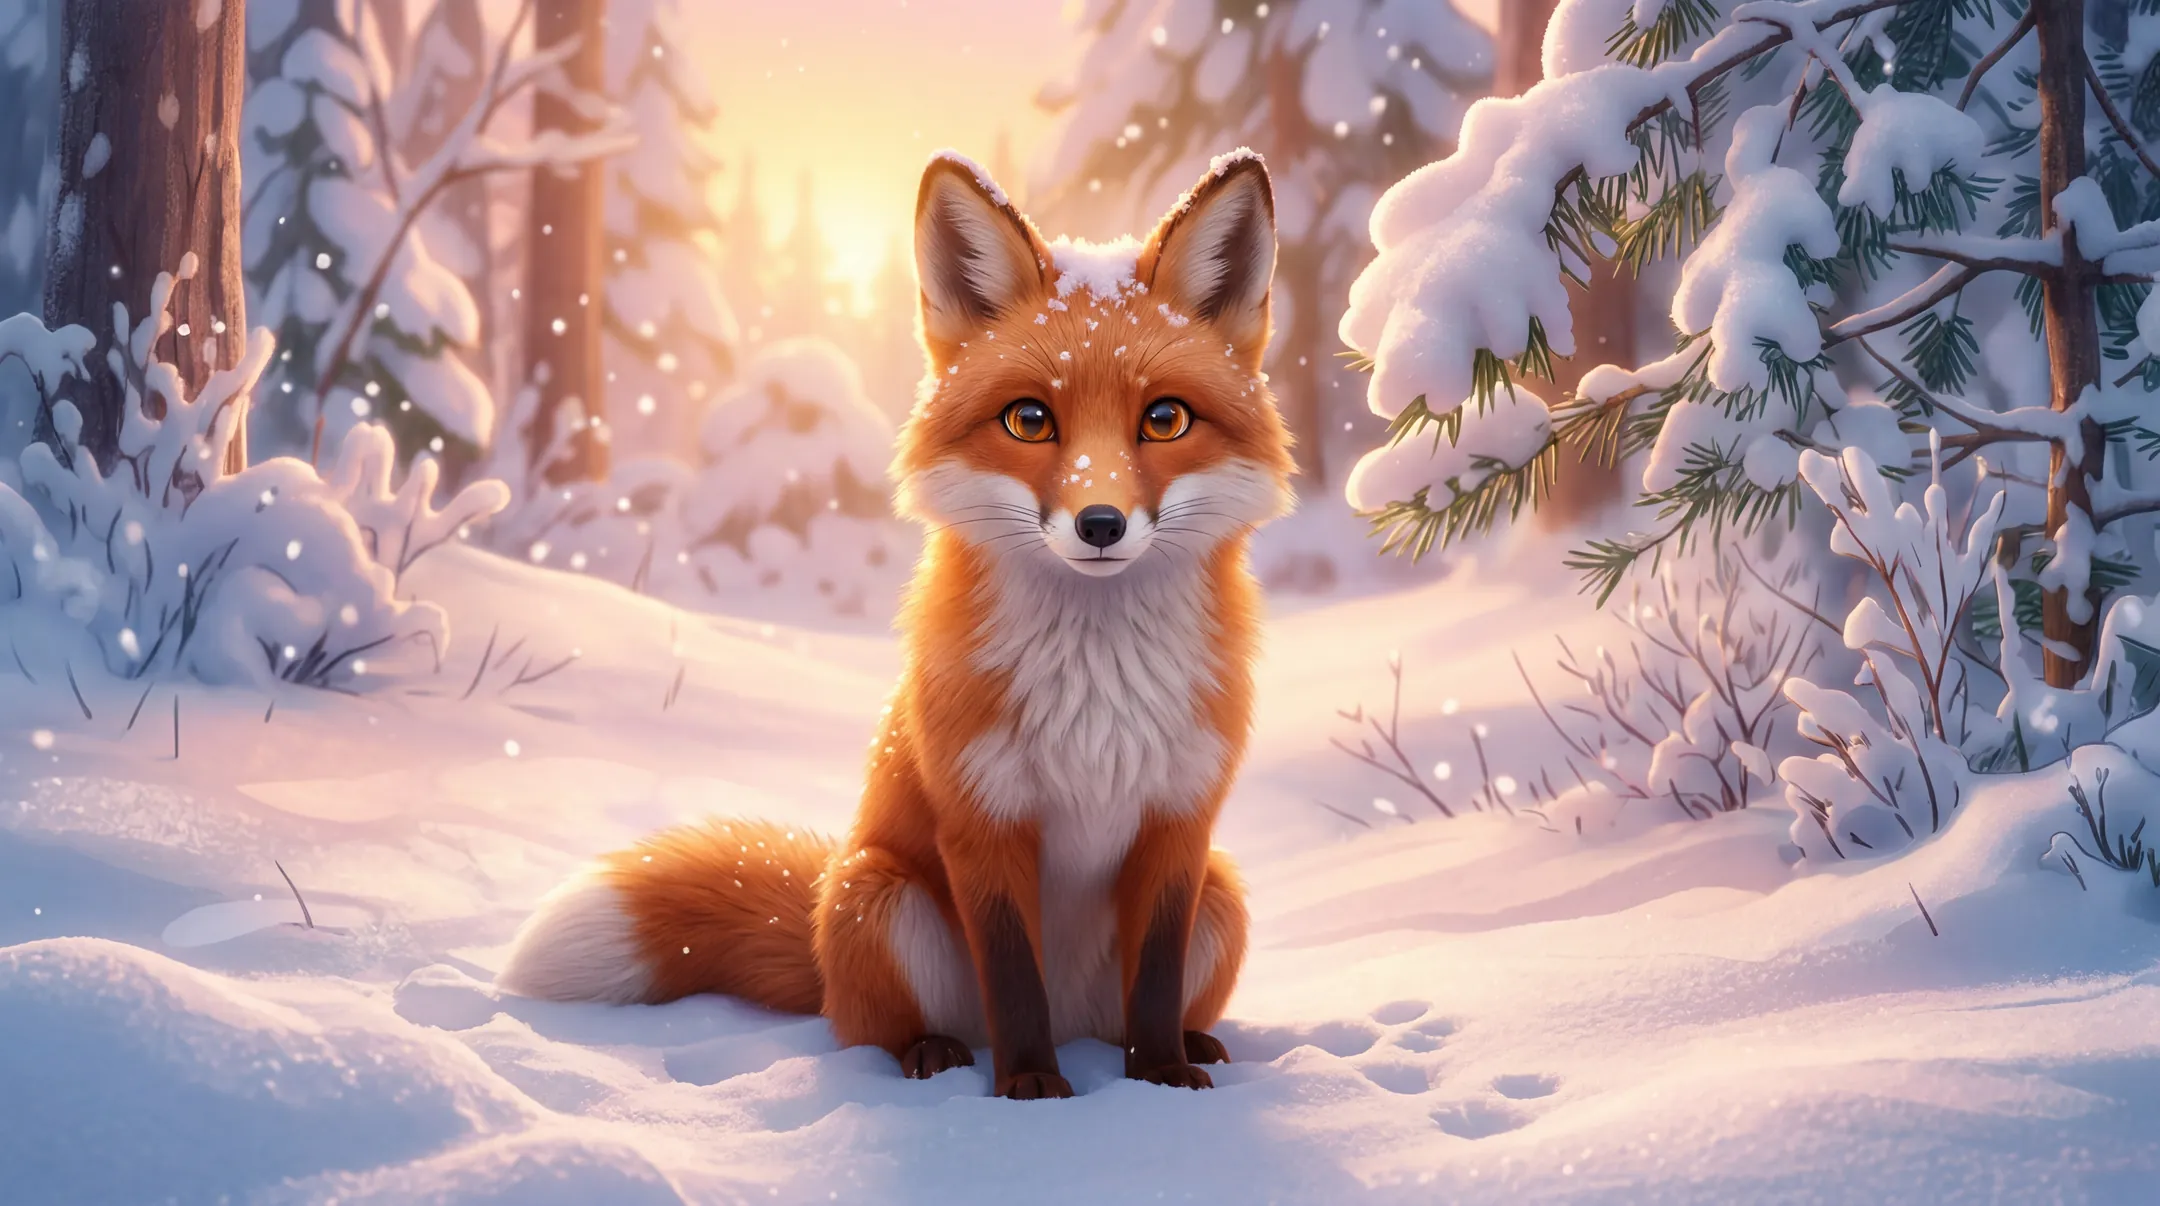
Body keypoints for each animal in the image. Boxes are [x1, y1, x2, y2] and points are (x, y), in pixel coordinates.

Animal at [496, 148, 1295, 1099]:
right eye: (1031, 419)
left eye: (1164, 418)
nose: (1100, 524)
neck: (1096, 696)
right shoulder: (981, 820)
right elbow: (1013, 980)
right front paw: (1033, 1094)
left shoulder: (1179, 824)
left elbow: (1157, 981)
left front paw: (1164, 1081)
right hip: (879, 894)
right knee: (876, 1031)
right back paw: (932, 1055)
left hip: (1224, 896)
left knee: (1131, 1017)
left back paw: (1186, 1047)